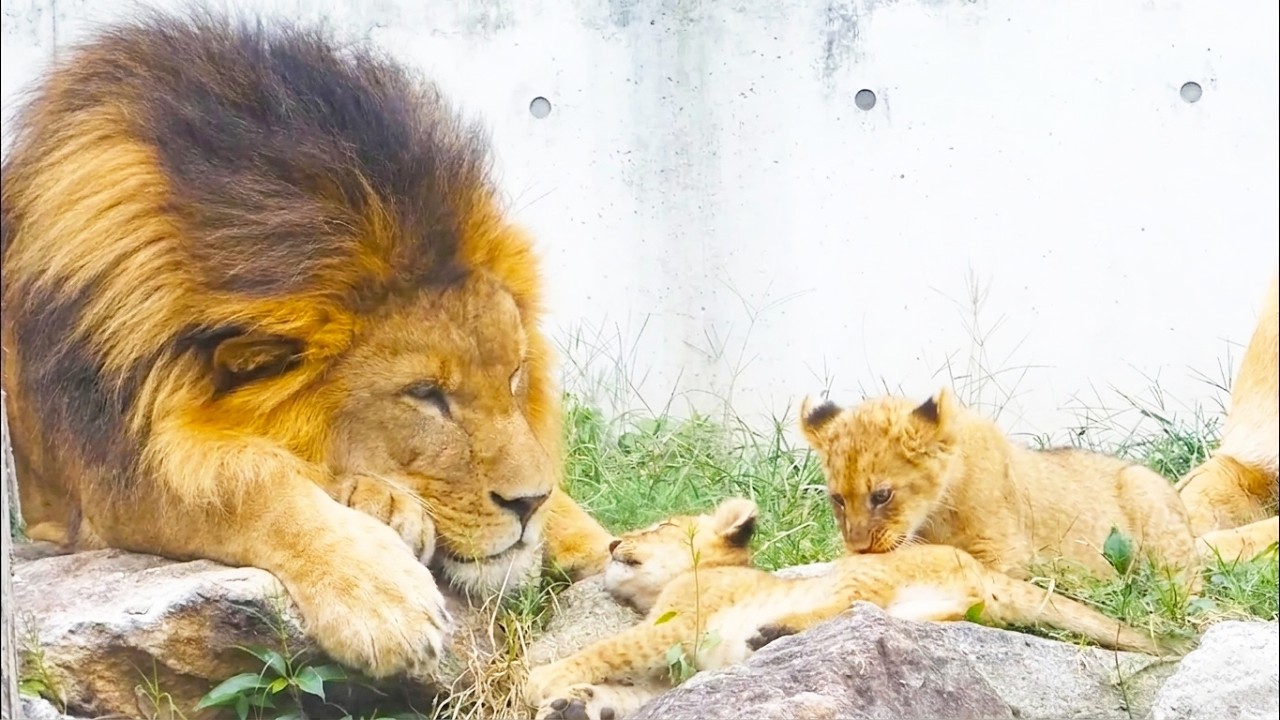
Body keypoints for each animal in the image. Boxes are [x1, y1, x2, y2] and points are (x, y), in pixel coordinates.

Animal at [0, 10, 613, 681]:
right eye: (425, 394)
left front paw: (606, 543)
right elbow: (249, 486)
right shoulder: (107, 481)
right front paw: (380, 594)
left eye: (513, 377)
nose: (528, 504)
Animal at [524, 497, 1187, 720]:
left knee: (852, 604)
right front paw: (575, 703)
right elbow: (632, 690)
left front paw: (543, 679)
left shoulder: (680, 625)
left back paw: (773, 630)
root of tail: (980, 569)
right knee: (903, 619)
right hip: (939, 606)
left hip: (860, 566)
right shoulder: (673, 663)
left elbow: (607, 648)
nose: (613, 543)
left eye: (658, 526)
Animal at [798, 389, 1202, 587]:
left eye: (882, 495)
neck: (933, 516)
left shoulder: (1007, 556)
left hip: (1146, 495)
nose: (859, 546)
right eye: (838, 499)